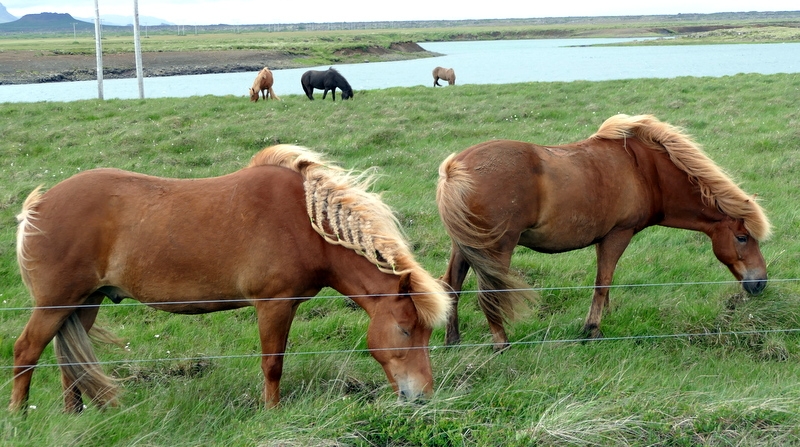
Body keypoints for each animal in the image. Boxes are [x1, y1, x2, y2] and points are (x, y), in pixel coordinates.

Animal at [9, 145, 450, 414]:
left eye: (427, 333)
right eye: (405, 330)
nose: (422, 397)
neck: (303, 223)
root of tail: (36, 208)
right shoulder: (274, 305)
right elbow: (272, 364)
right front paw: (272, 412)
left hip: (86, 302)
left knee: (70, 363)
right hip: (56, 304)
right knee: (26, 351)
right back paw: (19, 415)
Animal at [438, 114, 768, 350]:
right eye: (742, 238)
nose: (760, 283)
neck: (646, 170)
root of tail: (455, 169)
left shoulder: (602, 239)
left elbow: (605, 284)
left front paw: (604, 316)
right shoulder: (617, 235)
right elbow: (602, 282)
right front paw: (592, 330)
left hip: (464, 247)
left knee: (452, 286)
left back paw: (453, 340)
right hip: (496, 250)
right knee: (489, 295)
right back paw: (502, 344)